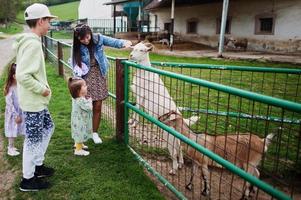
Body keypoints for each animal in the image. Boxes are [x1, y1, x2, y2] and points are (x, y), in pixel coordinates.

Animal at [128, 41, 197, 175]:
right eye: (134, 48)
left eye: (142, 50)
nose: (131, 56)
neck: (145, 74)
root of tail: (180, 119)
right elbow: (137, 109)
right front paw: (132, 122)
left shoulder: (141, 95)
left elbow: (136, 110)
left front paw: (133, 124)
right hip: (176, 137)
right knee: (180, 147)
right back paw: (181, 164)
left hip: (169, 136)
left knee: (174, 152)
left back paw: (174, 169)